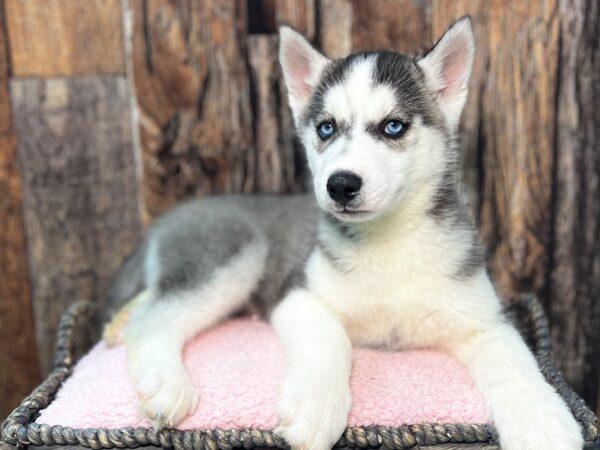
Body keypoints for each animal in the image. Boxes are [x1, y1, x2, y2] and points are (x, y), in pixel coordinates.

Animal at [105, 17, 584, 450]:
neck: (391, 243)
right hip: (232, 258)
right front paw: (316, 408)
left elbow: (518, 361)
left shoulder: (482, 318)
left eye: (393, 126)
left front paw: (546, 423)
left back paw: (118, 325)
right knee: (155, 319)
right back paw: (166, 383)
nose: (340, 184)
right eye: (326, 127)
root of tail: (172, 215)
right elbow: (330, 338)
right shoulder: (298, 294)